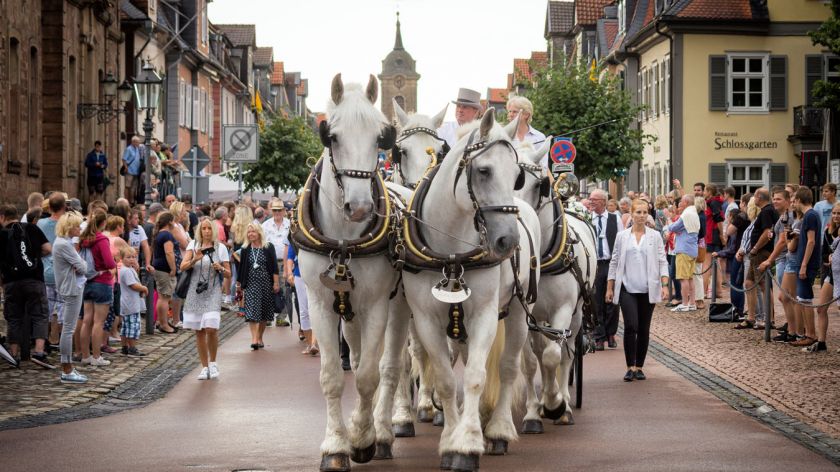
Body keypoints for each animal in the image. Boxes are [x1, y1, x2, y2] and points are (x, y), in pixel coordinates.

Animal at [296, 74, 400, 472]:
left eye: (379, 138)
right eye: (333, 137)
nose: (359, 207)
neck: (344, 239)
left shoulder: (377, 306)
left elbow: (370, 376)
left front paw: (362, 438)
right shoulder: (320, 304)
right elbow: (332, 377)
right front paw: (336, 446)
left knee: (390, 367)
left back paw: (382, 429)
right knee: (354, 360)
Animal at [398, 111, 540, 472]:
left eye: (517, 176)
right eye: (484, 170)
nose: (508, 241)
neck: (451, 252)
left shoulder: (485, 314)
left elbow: (476, 376)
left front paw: (469, 442)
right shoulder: (426, 319)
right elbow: (447, 379)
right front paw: (451, 439)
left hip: (517, 313)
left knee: (509, 367)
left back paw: (498, 429)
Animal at [512, 140, 596, 432]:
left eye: (541, 185)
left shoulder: (564, 309)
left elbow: (553, 356)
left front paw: (555, 405)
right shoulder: (526, 315)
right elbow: (530, 361)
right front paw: (533, 413)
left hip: (578, 314)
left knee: (566, 352)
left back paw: (566, 402)